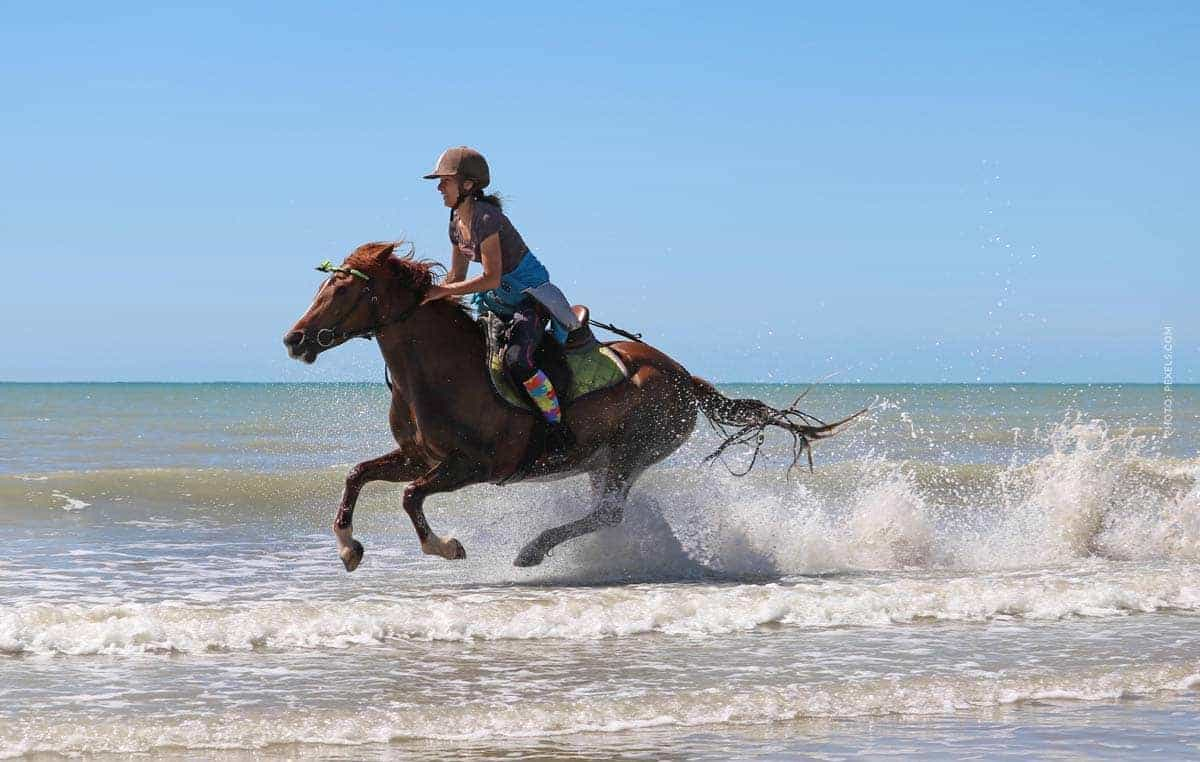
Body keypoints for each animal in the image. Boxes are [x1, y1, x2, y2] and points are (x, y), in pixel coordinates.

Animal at [285, 241, 859, 568]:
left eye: (341, 290)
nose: (294, 340)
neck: (442, 372)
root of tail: (682, 377)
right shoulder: (421, 457)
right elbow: (358, 475)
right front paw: (348, 548)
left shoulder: (472, 467)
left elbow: (408, 497)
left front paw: (445, 547)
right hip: (602, 460)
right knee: (604, 511)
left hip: (633, 453)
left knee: (608, 513)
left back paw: (532, 550)